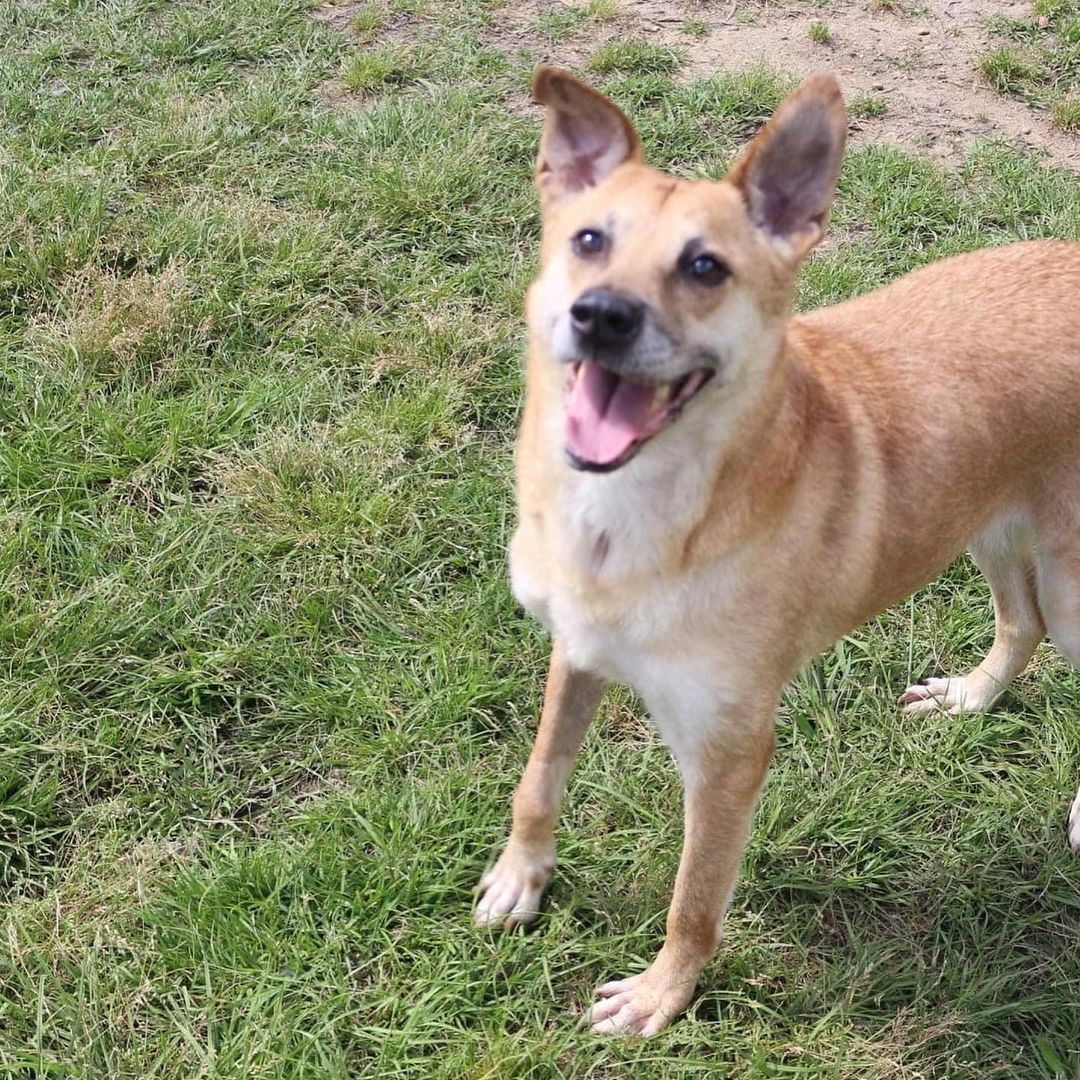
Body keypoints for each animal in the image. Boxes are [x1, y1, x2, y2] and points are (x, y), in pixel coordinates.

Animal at [475, 67, 1080, 1036]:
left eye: (705, 267)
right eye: (589, 239)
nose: (599, 315)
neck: (638, 514)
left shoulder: (728, 754)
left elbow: (693, 899)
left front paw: (660, 996)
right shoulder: (578, 647)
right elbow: (540, 776)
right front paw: (519, 877)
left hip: (1069, 584)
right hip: (983, 516)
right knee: (1015, 624)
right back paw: (968, 698)